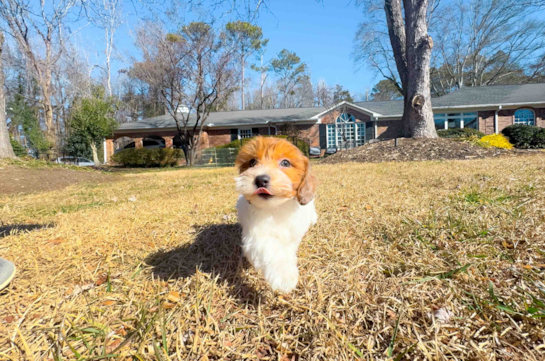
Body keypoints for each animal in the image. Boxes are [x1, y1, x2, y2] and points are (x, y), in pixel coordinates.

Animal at [235, 136, 318, 292]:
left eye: (285, 162)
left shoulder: (293, 233)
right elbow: (269, 247)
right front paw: (283, 274)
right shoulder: (254, 236)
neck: (275, 208)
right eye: (252, 162)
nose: (260, 179)